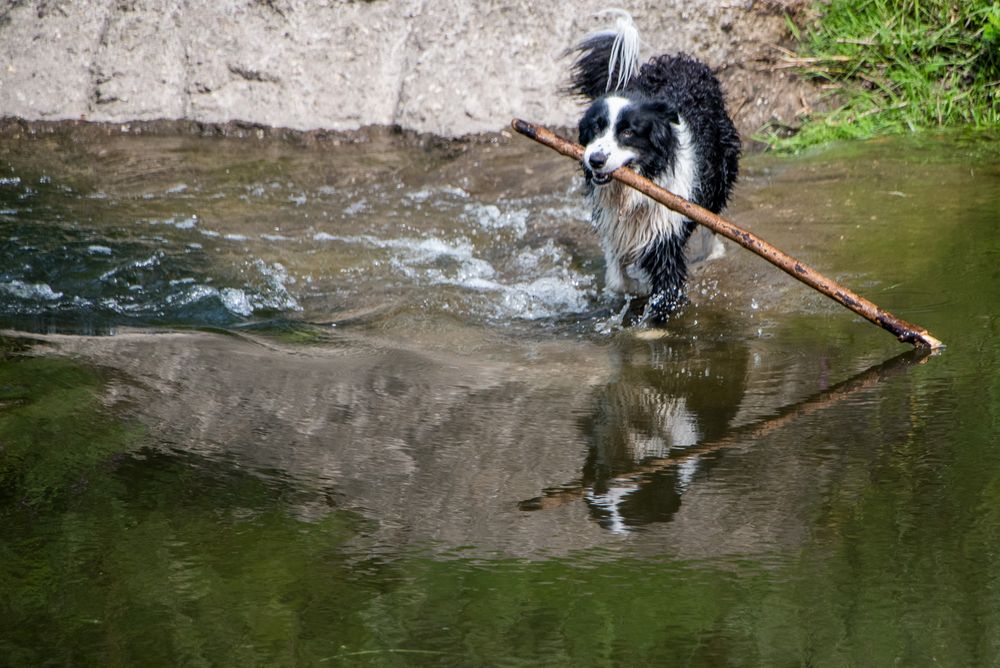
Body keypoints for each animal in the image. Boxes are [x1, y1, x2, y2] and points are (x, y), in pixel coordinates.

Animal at [568, 9, 740, 324]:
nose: (595, 160)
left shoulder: (665, 237)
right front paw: (636, 286)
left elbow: (666, 293)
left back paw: (711, 254)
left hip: (722, 166)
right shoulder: (615, 229)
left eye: (627, 132)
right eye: (596, 128)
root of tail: (683, 60)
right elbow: (616, 279)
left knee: (712, 215)